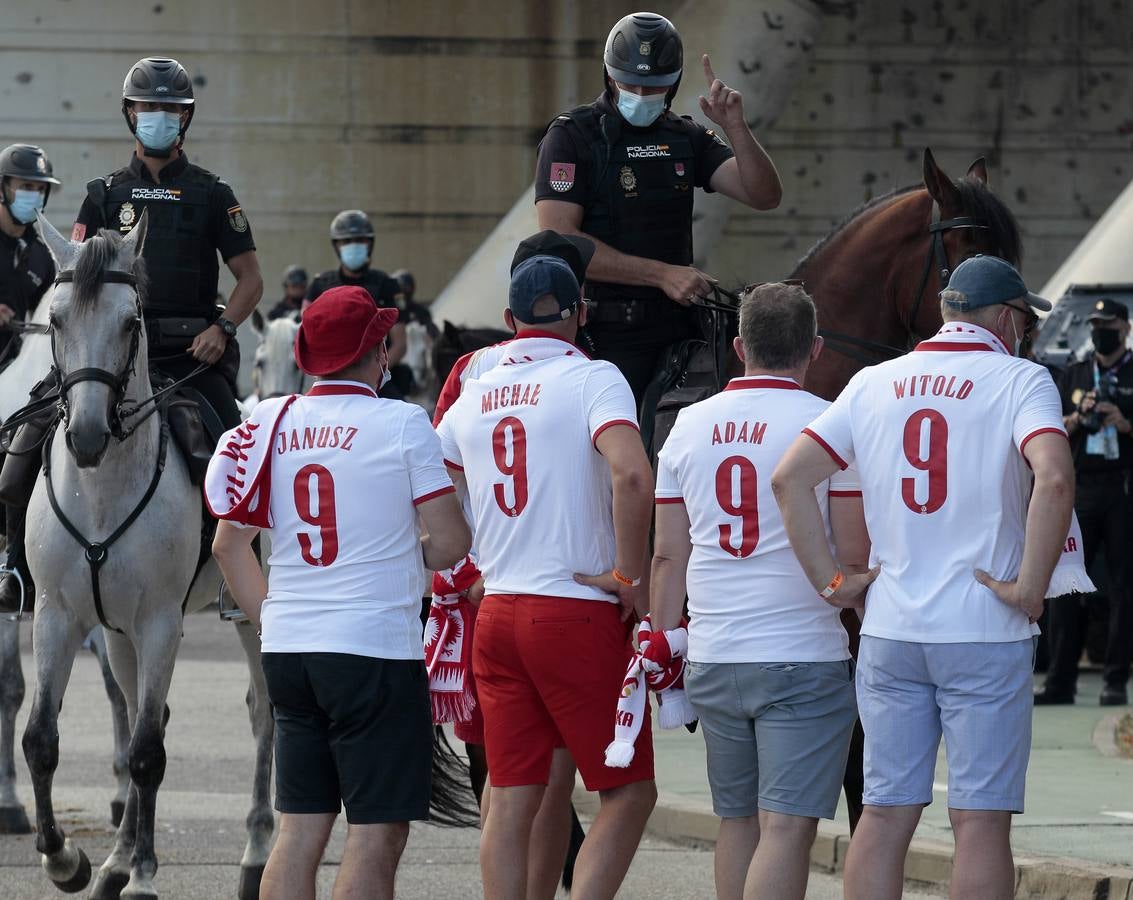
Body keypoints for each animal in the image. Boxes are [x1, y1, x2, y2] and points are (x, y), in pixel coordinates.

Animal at [23, 211, 274, 897]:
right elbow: (43, 738)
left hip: (255, 616)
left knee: (265, 716)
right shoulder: (59, 616)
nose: (85, 435)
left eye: (129, 322)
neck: (102, 489)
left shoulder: (161, 621)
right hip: (116, 633)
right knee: (143, 708)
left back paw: (255, 853)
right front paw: (69, 861)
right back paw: (114, 860)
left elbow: (146, 752)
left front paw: (142, 876)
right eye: (57, 320)